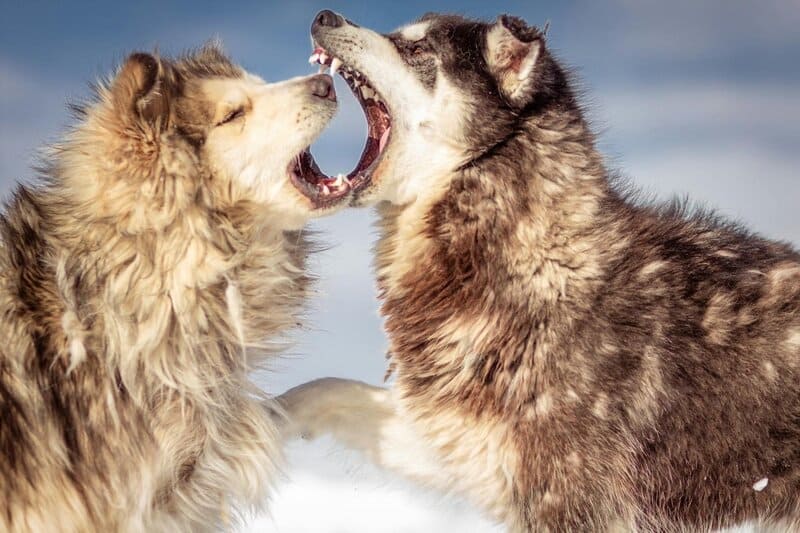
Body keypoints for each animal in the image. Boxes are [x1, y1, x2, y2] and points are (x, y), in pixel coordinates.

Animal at [279, 10, 800, 532]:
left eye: (418, 49)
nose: (325, 15)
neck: (539, 264)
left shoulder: (570, 499)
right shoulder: (467, 445)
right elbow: (323, 390)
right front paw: (269, 421)